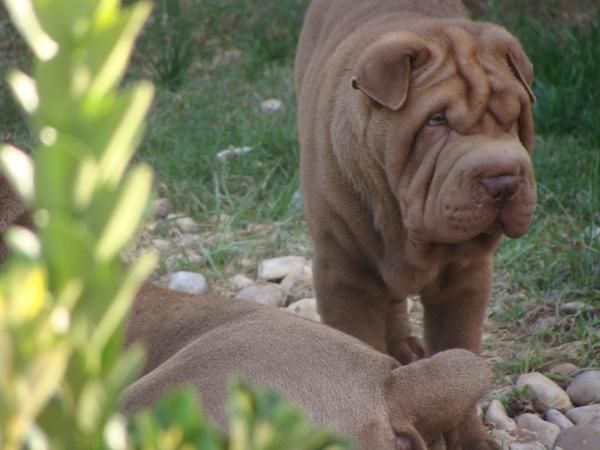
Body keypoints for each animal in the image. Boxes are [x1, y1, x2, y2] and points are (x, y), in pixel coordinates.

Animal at [294, 0, 536, 448]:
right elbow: (358, 347)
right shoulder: (343, 276)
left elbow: (459, 353)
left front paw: (470, 439)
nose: (504, 180)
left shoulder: (466, 281)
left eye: (515, 118)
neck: (407, 225)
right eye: (436, 121)